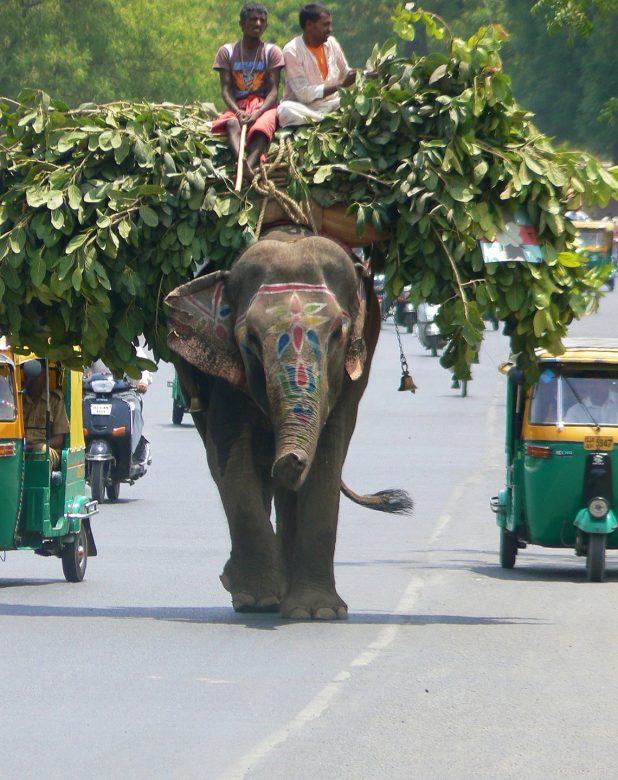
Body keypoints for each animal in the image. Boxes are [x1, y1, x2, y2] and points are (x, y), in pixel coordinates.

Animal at [166, 227, 412, 620]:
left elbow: (328, 455)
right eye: (250, 338)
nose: (291, 458)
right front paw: (256, 600)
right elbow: (230, 453)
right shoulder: (226, 373)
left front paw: (319, 612)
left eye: (337, 334)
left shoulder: (350, 376)